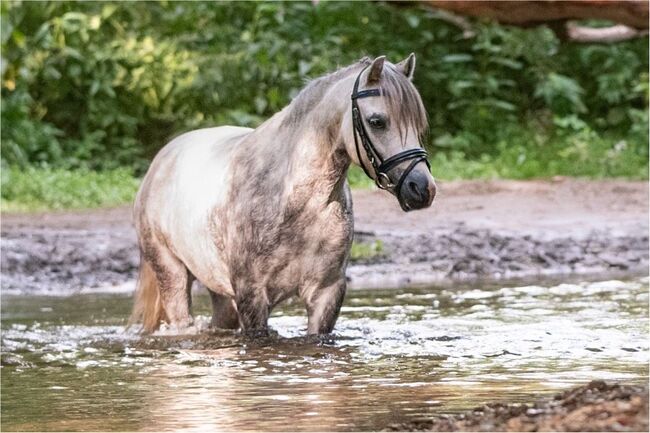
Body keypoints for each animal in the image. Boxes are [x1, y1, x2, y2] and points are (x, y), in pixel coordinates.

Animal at [130, 54, 436, 336]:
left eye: (418, 124)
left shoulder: (326, 295)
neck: (295, 201)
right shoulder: (252, 297)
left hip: (217, 287)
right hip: (172, 277)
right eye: (377, 121)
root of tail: (163, 158)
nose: (422, 188)